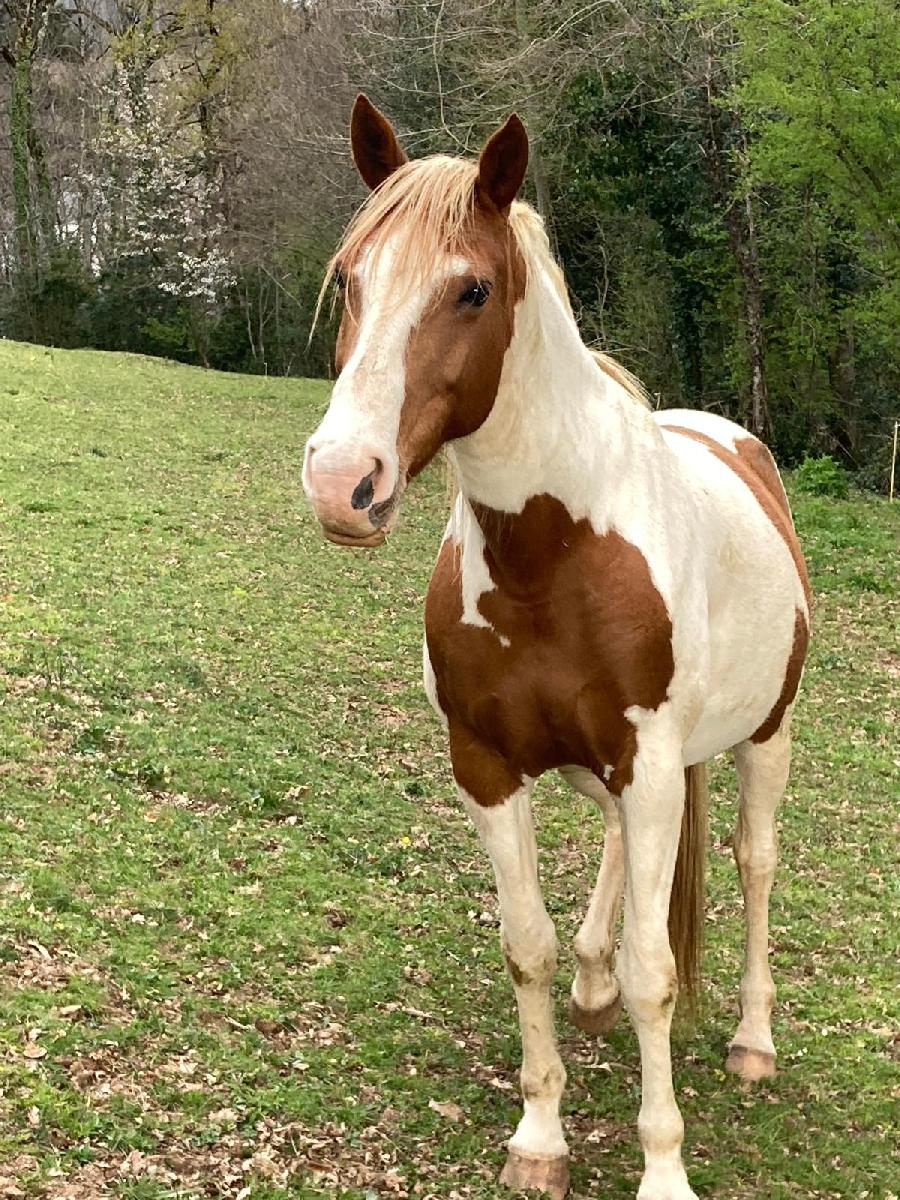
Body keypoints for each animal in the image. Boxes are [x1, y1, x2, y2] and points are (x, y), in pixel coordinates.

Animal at [303, 94, 810, 1200]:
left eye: (472, 288)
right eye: (351, 276)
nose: (342, 482)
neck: (557, 552)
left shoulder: (652, 762)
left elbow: (658, 973)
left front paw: (663, 1170)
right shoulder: (488, 766)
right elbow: (525, 946)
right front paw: (539, 1136)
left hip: (763, 739)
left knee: (754, 863)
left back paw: (753, 1042)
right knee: (617, 858)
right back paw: (591, 982)